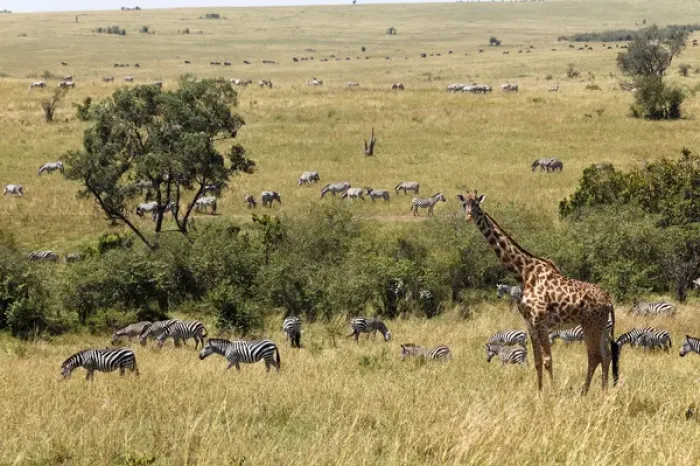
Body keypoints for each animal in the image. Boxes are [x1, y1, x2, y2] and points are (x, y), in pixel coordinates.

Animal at [457, 191, 619, 393]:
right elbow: (537, 361)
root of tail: (608, 301)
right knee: (606, 356)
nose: (468, 216)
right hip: (601, 327)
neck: (523, 273)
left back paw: (585, 392)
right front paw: (540, 392)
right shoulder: (530, 324)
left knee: (595, 356)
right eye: (464, 204)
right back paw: (604, 390)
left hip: (591, 325)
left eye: (477, 205)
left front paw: (553, 392)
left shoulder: (540, 322)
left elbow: (548, 360)